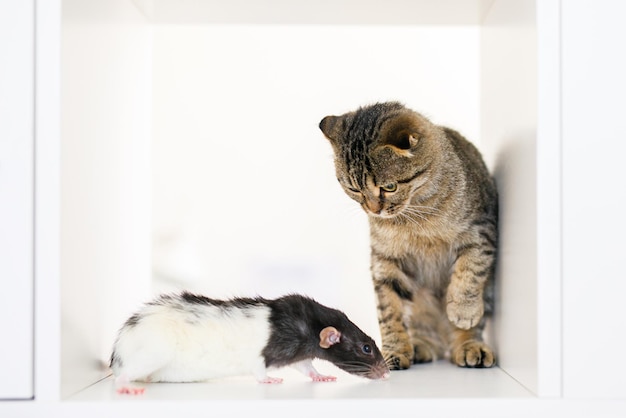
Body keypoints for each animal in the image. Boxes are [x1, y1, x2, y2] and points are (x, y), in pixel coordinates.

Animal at [320, 102, 494, 370]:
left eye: (389, 187)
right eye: (354, 189)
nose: (373, 209)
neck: (415, 217)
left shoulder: (480, 231)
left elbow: (469, 273)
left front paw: (463, 311)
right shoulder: (385, 261)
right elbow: (390, 311)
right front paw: (394, 351)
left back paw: (469, 346)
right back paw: (420, 347)